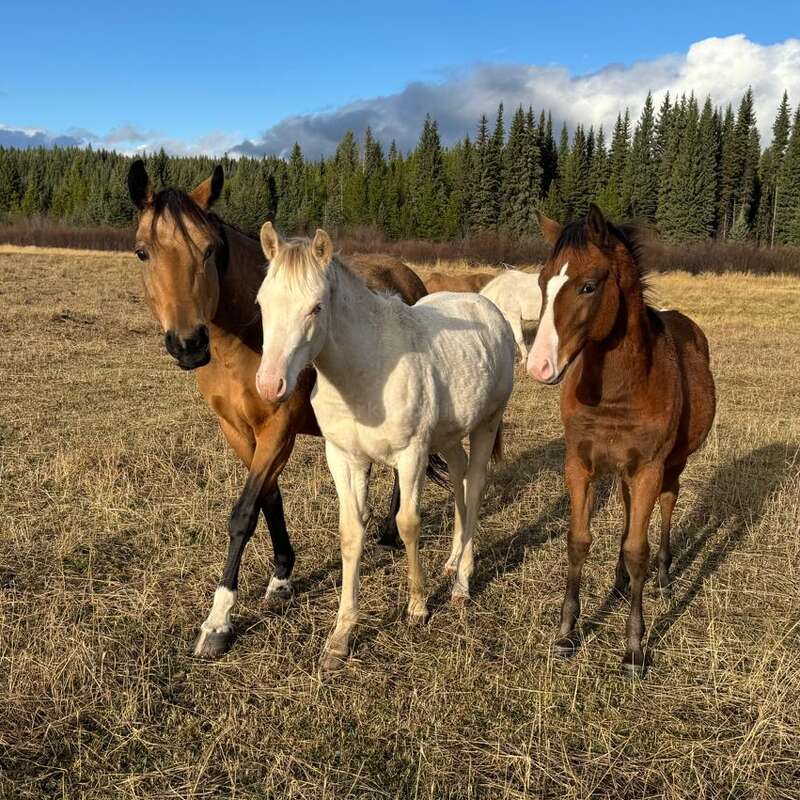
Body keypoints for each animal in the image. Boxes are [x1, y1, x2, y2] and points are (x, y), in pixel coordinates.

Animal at [126, 160, 441, 659]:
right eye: (143, 252)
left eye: (209, 250)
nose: (189, 344)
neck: (244, 340)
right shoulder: (238, 430)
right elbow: (268, 499)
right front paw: (281, 577)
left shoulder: (278, 429)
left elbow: (243, 513)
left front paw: (218, 620)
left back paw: (391, 532)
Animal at [254, 224, 516, 675]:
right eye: (261, 302)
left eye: (316, 308)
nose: (270, 386)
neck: (366, 371)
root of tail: (488, 307)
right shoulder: (343, 458)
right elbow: (350, 533)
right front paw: (341, 637)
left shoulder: (411, 455)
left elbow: (407, 523)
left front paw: (417, 607)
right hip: (449, 436)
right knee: (461, 478)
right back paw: (451, 562)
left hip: (486, 424)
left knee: (477, 484)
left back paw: (461, 584)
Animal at [527, 204, 716, 677]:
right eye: (542, 281)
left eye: (588, 286)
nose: (538, 366)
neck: (619, 390)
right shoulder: (580, 465)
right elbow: (579, 541)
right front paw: (565, 633)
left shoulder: (648, 468)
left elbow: (637, 549)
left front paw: (633, 649)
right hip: (624, 472)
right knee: (631, 512)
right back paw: (617, 585)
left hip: (669, 467)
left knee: (665, 507)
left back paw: (663, 580)